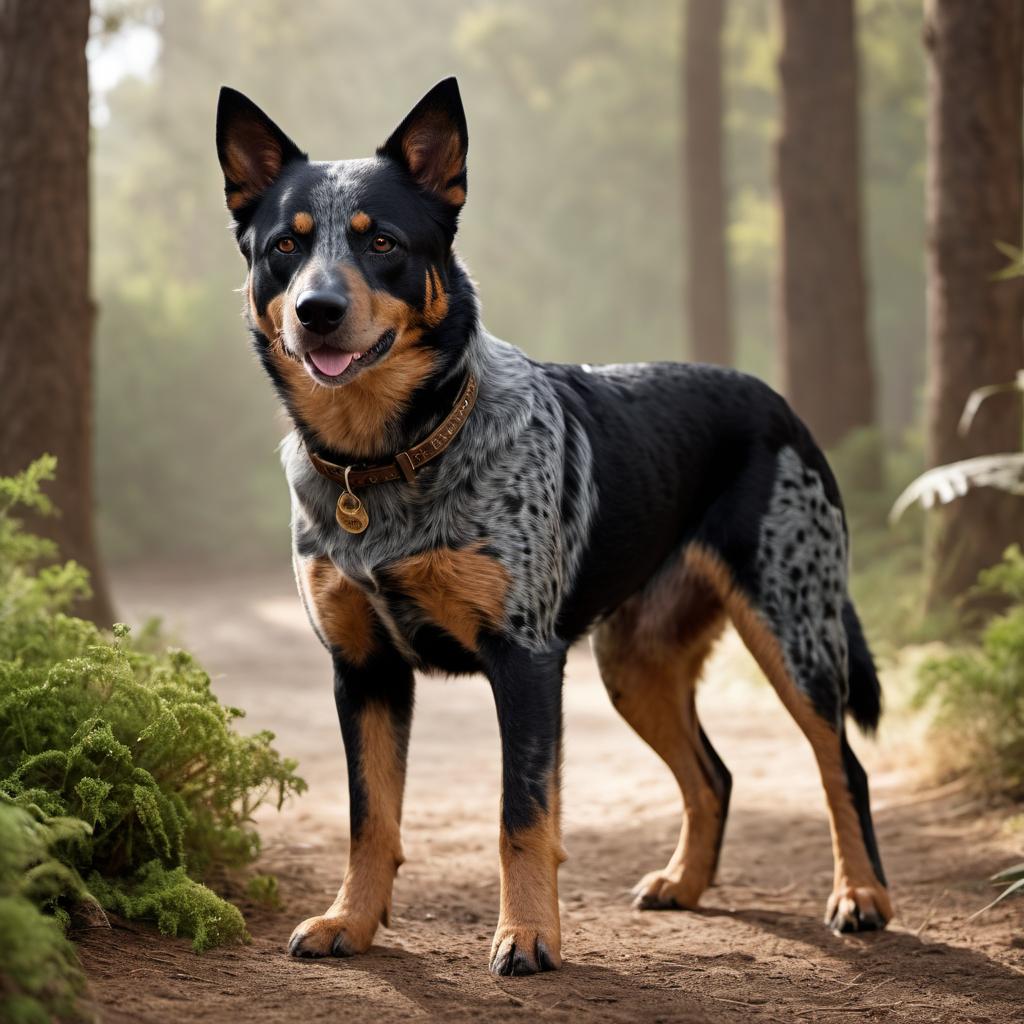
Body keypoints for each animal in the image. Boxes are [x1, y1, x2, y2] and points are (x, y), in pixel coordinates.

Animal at [218, 77, 897, 974]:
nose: (316, 310)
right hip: (634, 665)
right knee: (713, 775)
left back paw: (862, 896)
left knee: (841, 765)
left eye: (384, 243)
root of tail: (777, 402)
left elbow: (522, 816)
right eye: (285, 248)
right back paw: (684, 884)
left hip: (795, 633)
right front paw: (349, 923)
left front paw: (529, 935)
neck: (389, 460)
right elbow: (371, 820)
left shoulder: (527, 661)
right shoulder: (362, 670)